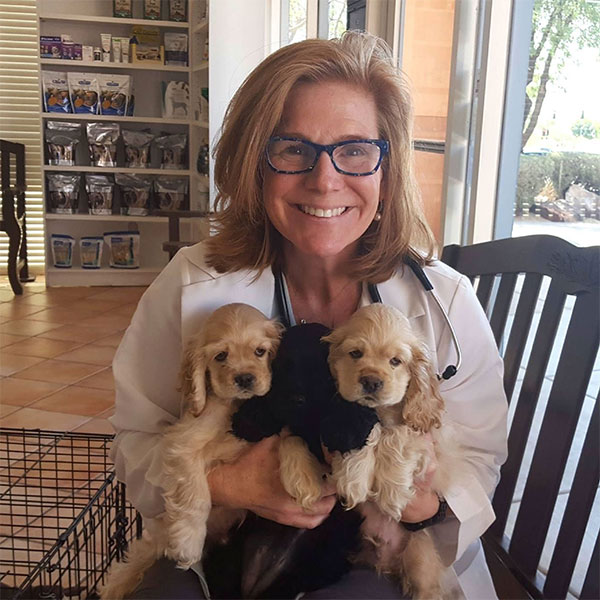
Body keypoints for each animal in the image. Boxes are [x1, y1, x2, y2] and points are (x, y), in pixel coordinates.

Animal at [100, 304, 282, 600]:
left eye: (260, 351)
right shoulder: (184, 443)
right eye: (221, 355)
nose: (245, 378)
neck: (235, 407)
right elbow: (195, 494)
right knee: (137, 559)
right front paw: (188, 541)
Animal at [204, 326, 378, 596]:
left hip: (325, 555)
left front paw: (346, 426)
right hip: (226, 551)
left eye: (323, 374)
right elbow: (288, 434)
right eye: (283, 367)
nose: (296, 399)